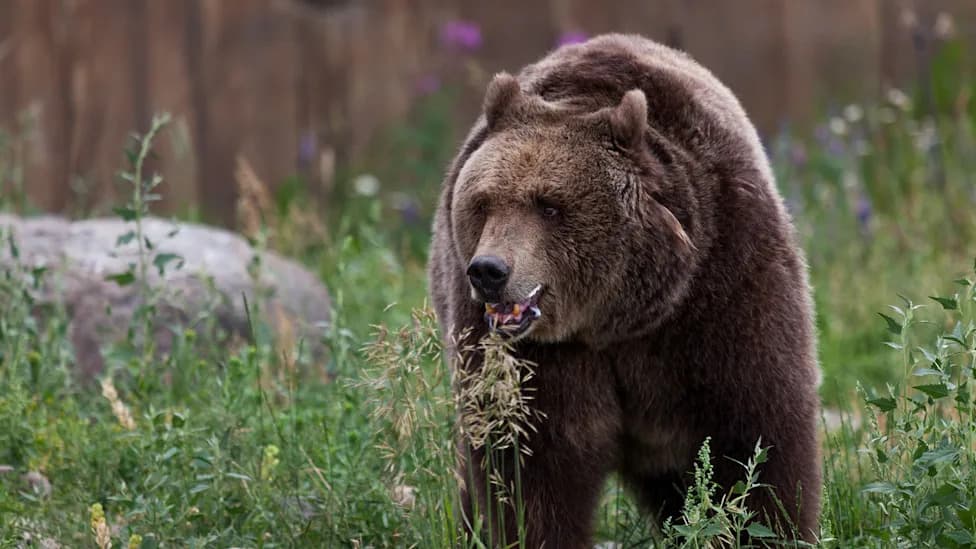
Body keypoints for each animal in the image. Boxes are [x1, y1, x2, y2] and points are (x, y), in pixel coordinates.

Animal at [428, 34, 821, 547]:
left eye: (549, 205)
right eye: (484, 202)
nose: (489, 270)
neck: (617, 317)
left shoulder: (723, 287)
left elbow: (756, 432)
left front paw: (767, 527)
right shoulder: (535, 355)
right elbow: (529, 462)